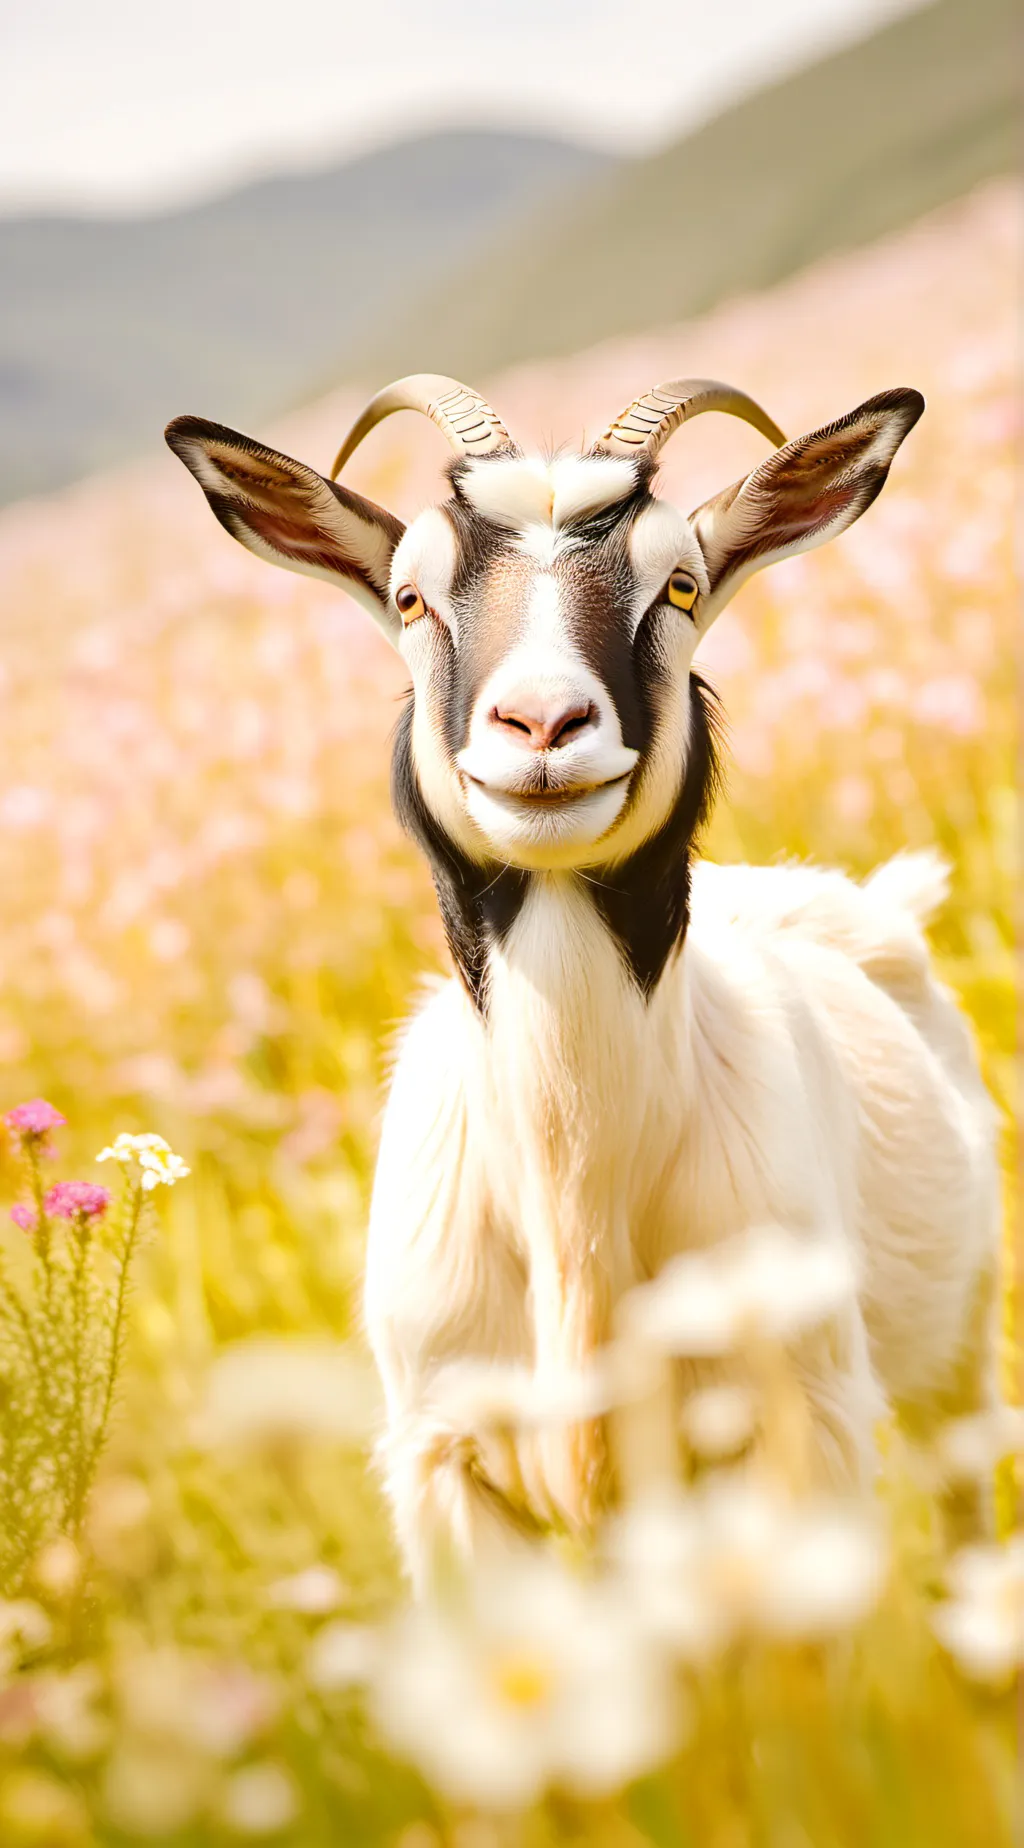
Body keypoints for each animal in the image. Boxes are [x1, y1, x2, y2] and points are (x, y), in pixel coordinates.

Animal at [167, 374, 1001, 1587]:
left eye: (681, 583)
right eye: (410, 596)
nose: (543, 725)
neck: (579, 1209)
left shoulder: (803, 1432)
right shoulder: (447, 1472)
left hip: (957, 1356)